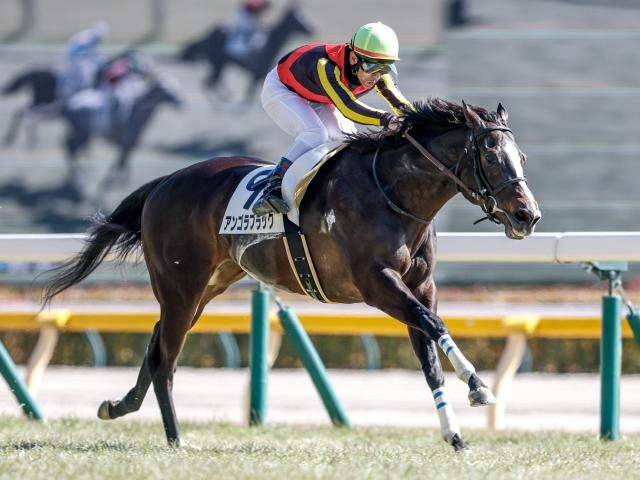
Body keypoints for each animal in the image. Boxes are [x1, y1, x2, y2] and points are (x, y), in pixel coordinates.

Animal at [43, 98, 541, 450]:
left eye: (523, 157)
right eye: (492, 157)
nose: (527, 216)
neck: (393, 193)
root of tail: (163, 183)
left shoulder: (421, 286)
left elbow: (430, 360)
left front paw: (455, 436)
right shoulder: (378, 284)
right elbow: (435, 325)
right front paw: (478, 386)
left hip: (205, 287)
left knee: (154, 347)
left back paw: (117, 406)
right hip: (180, 286)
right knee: (166, 358)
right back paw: (175, 437)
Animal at [178, 4, 314, 102]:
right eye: (298, 18)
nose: (312, 29)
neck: (269, 43)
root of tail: (210, 33)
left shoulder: (259, 73)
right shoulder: (258, 72)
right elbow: (252, 91)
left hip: (219, 63)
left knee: (211, 81)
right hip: (218, 62)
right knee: (210, 82)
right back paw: (222, 99)